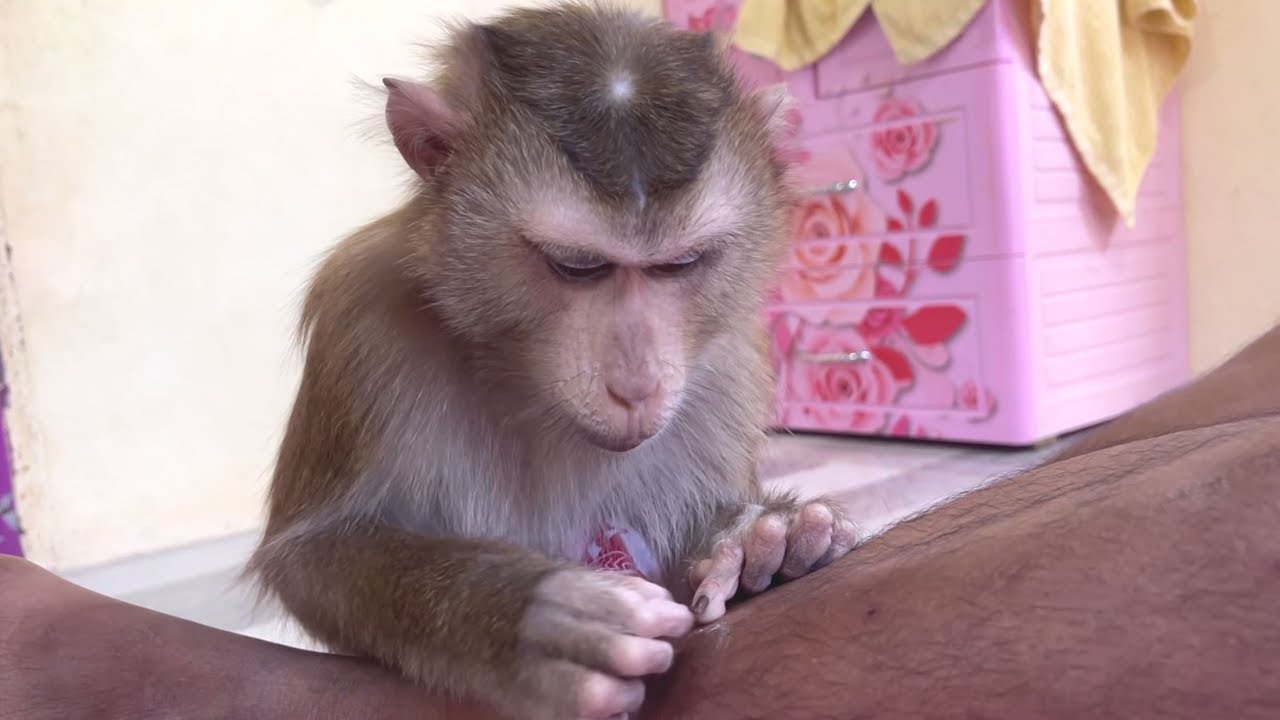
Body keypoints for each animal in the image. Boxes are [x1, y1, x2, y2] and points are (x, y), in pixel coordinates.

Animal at [246, 3, 858, 719]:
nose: (636, 386)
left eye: (680, 263)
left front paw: (764, 536)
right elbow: (313, 557)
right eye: (576, 265)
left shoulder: (733, 356)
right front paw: (537, 623)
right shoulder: (359, 321)